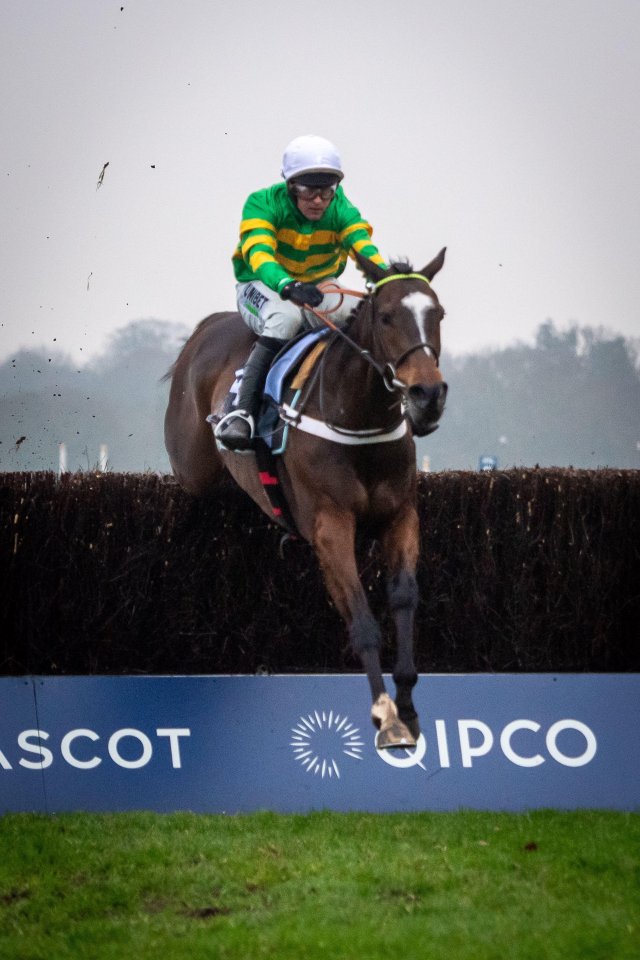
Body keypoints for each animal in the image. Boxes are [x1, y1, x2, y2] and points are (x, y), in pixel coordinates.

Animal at [162, 248, 448, 752]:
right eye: (386, 316)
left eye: (439, 314)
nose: (427, 395)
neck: (359, 417)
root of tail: (207, 328)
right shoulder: (330, 526)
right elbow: (362, 619)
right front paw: (386, 715)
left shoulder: (401, 517)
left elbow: (404, 600)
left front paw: (409, 709)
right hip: (191, 465)